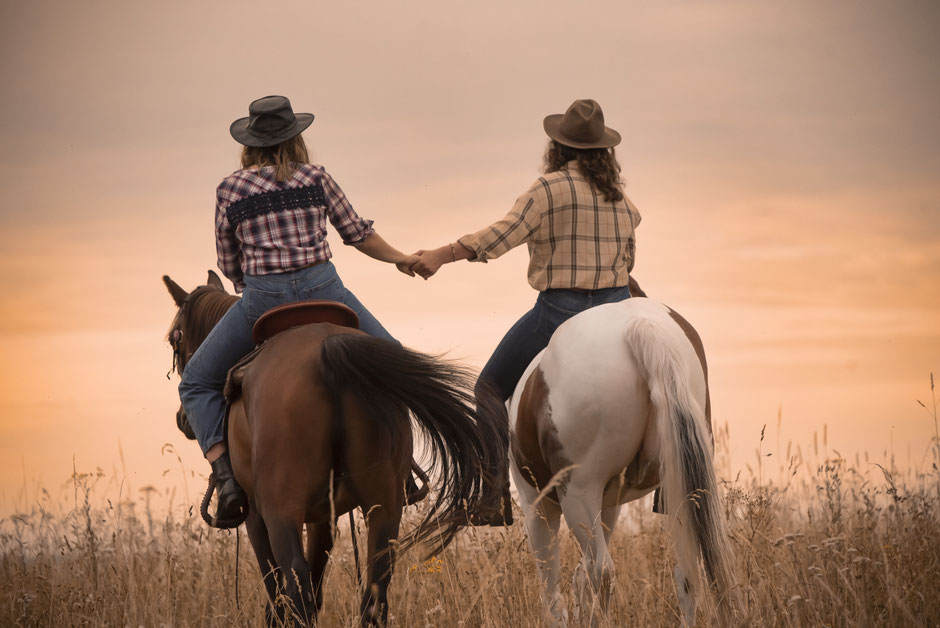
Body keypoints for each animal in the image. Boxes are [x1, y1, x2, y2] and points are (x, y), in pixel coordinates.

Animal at [165, 272, 504, 628]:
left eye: (175, 341)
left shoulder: (256, 516)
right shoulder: (322, 517)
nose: (182, 420)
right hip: (384, 508)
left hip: (281, 512)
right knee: (373, 596)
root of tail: (327, 351)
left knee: (296, 588)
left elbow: (276, 593)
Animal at [506, 296, 736, 624]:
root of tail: (640, 326)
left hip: (578, 492)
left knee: (600, 570)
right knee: (688, 572)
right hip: (680, 491)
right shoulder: (609, 503)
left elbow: (552, 589)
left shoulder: (537, 505)